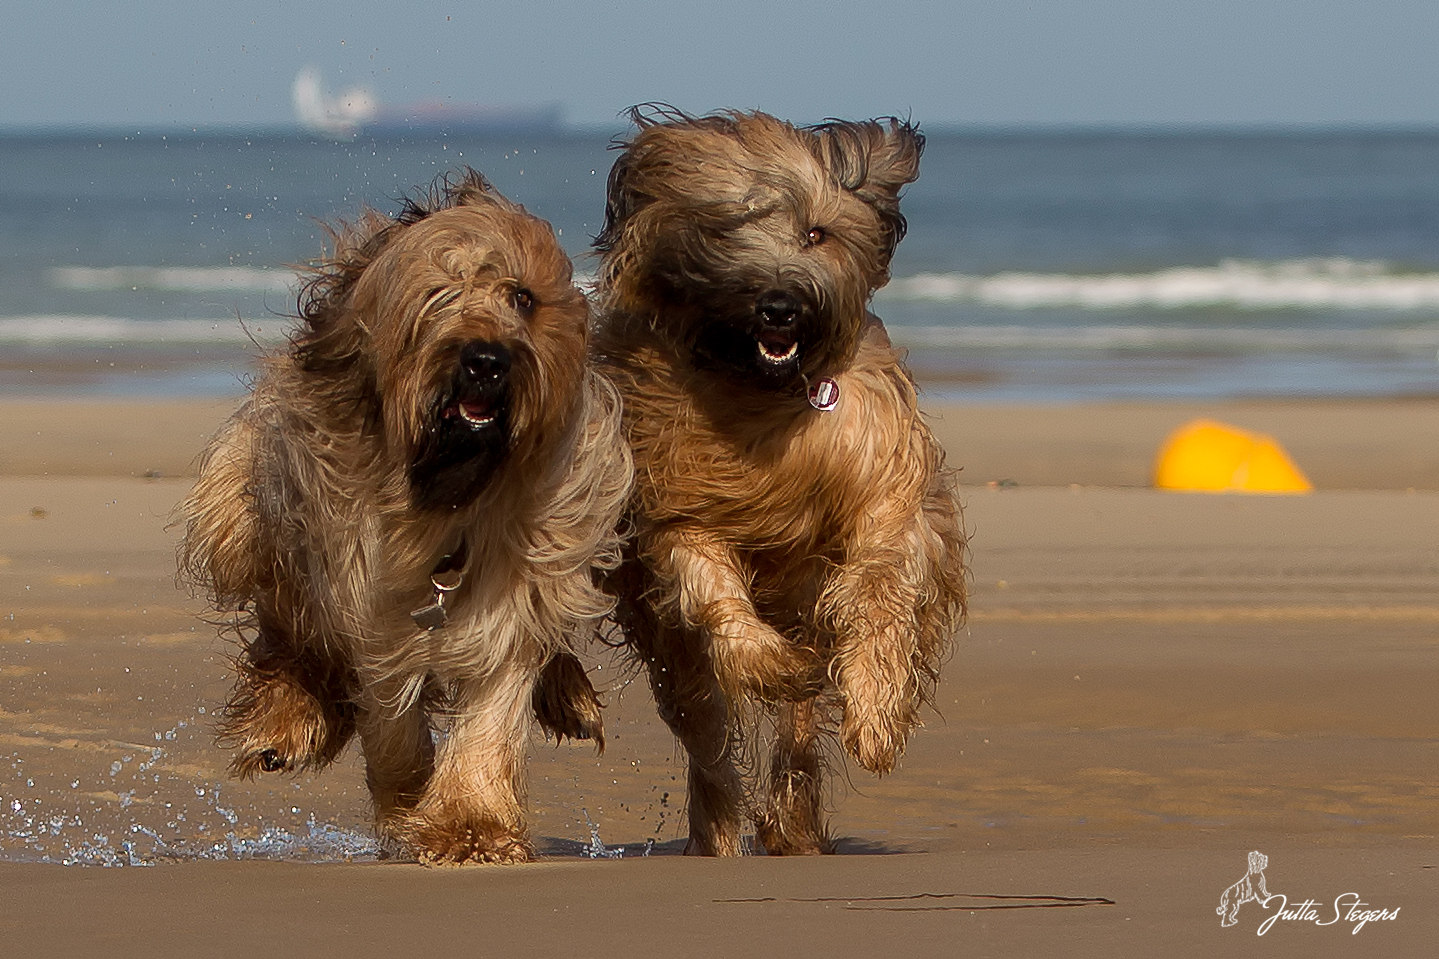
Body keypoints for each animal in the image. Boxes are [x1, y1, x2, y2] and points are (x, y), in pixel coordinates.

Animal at [179, 167, 630, 863]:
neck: (451, 494)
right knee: (287, 623)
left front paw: (470, 825)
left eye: (522, 297)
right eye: (437, 297)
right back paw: (286, 717)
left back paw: (568, 693)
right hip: (246, 523)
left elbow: (495, 704)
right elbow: (391, 718)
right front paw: (406, 809)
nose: (485, 360)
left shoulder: (524, 572)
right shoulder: (363, 585)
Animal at [589, 107, 972, 852]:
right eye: (724, 230)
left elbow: (881, 586)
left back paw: (792, 817)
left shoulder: (881, 483)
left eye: (816, 233)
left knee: (796, 733)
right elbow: (714, 597)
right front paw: (774, 662)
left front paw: (876, 714)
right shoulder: (679, 511)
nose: (779, 306)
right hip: (668, 646)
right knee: (706, 730)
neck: (764, 395)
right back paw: (721, 825)